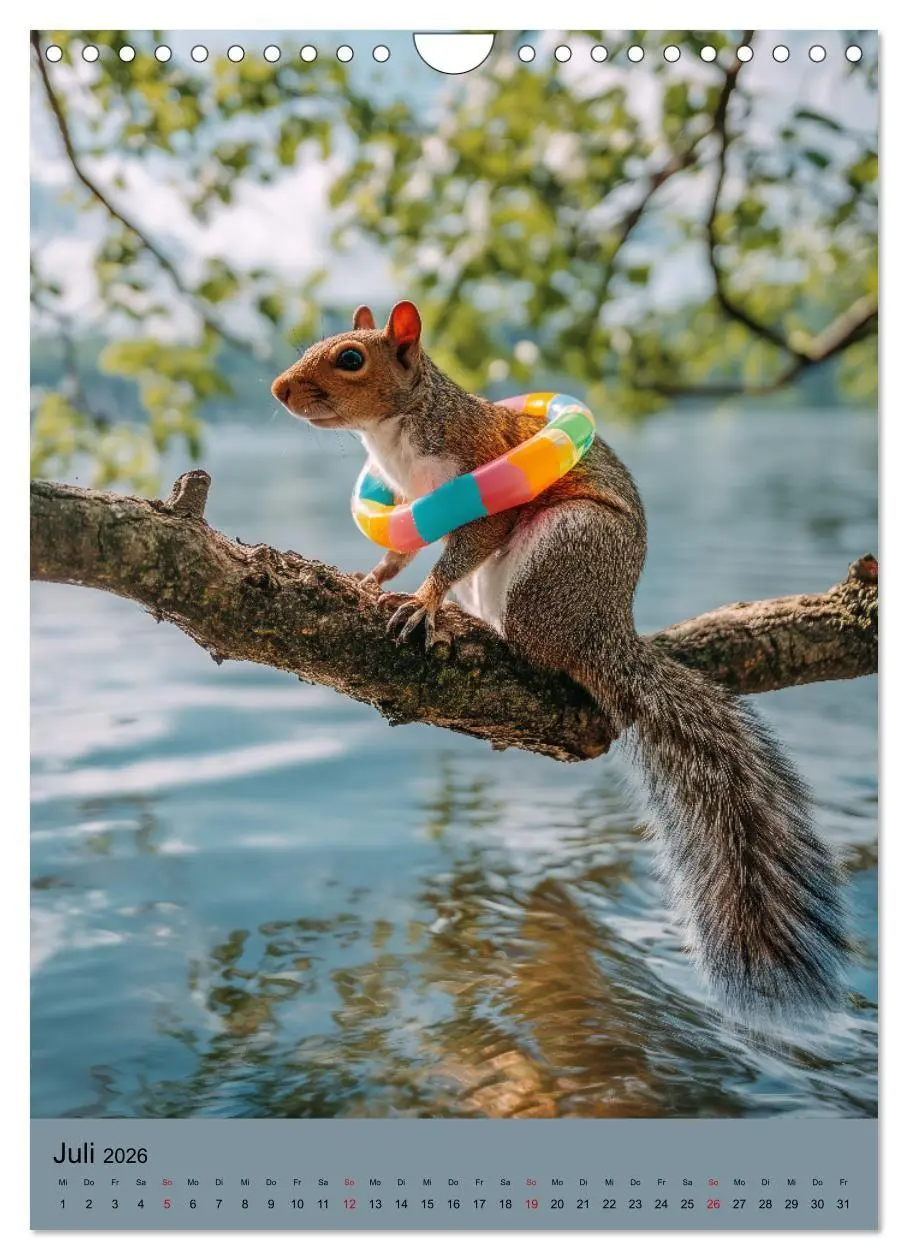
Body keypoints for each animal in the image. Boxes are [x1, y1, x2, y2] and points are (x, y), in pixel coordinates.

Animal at [272, 300, 849, 1021]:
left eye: (350, 358)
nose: (279, 390)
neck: (394, 435)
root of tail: (608, 629)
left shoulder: (481, 475)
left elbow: (459, 550)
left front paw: (426, 603)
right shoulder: (409, 507)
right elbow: (401, 550)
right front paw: (372, 577)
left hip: (557, 556)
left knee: (540, 649)